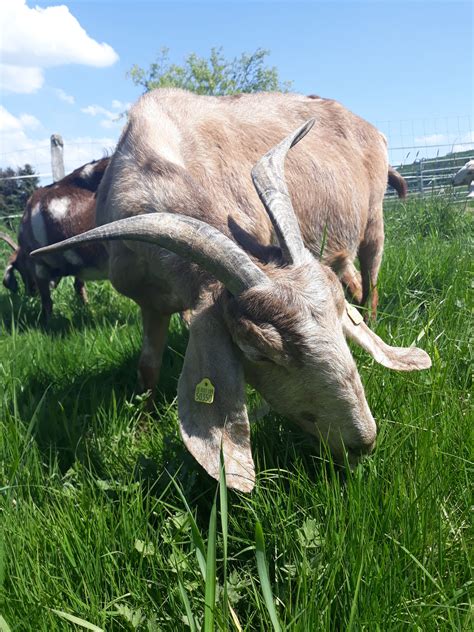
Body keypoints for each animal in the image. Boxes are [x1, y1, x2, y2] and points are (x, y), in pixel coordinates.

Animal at [1, 157, 110, 316]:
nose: (30, 292)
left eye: (20, 267)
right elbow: (79, 286)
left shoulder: (38, 265)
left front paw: (46, 321)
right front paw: (86, 309)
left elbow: (47, 302)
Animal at [33, 110, 430, 494]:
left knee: (370, 279)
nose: (362, 442)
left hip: (372, 223)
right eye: (257, 350)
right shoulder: (150, 302)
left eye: (337, 317)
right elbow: (148, 367)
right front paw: (144, 424)